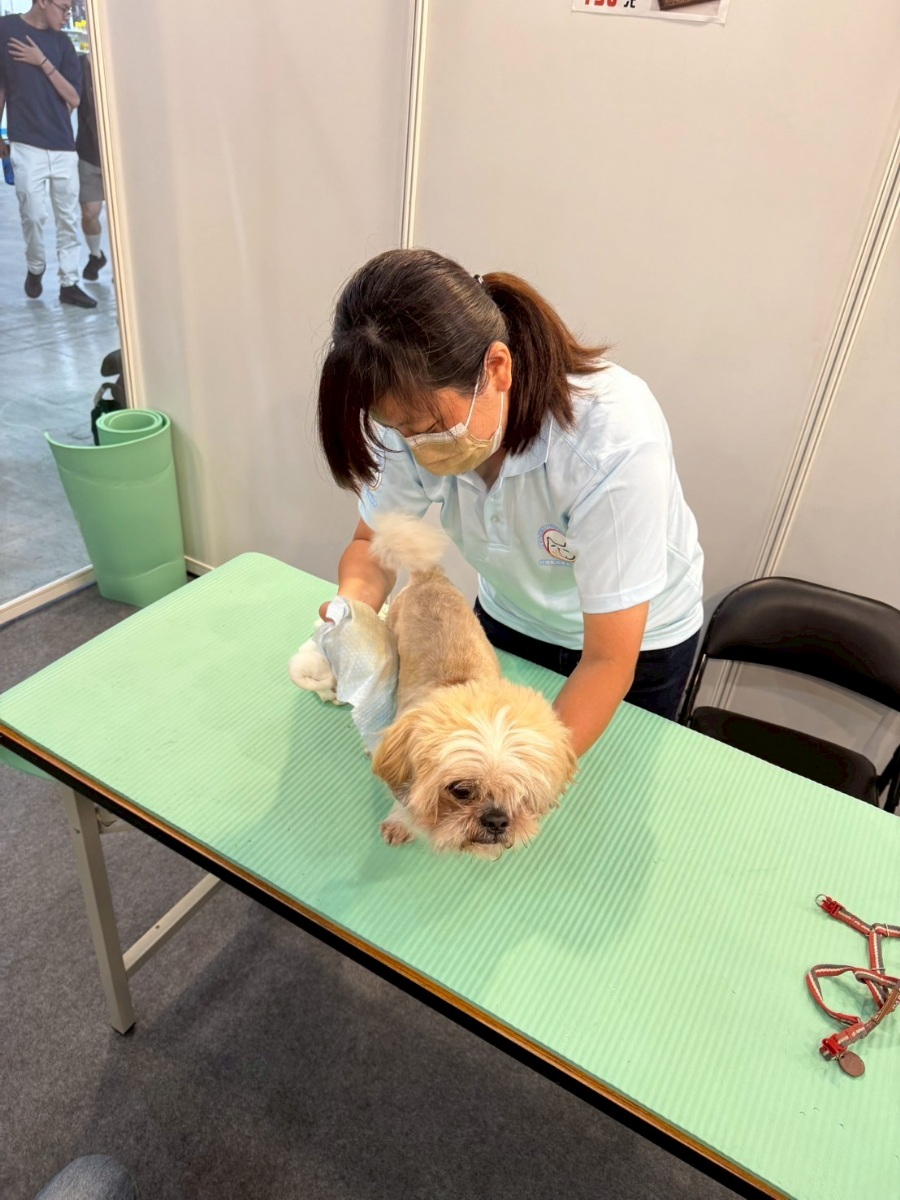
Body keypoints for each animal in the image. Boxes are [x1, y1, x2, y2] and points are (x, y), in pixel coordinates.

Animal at [370, 514, 577, 858]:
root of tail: (430, 576)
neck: (465, 687)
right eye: (461, 790)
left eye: (522, 792)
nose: (497, 820)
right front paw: (401, 822)